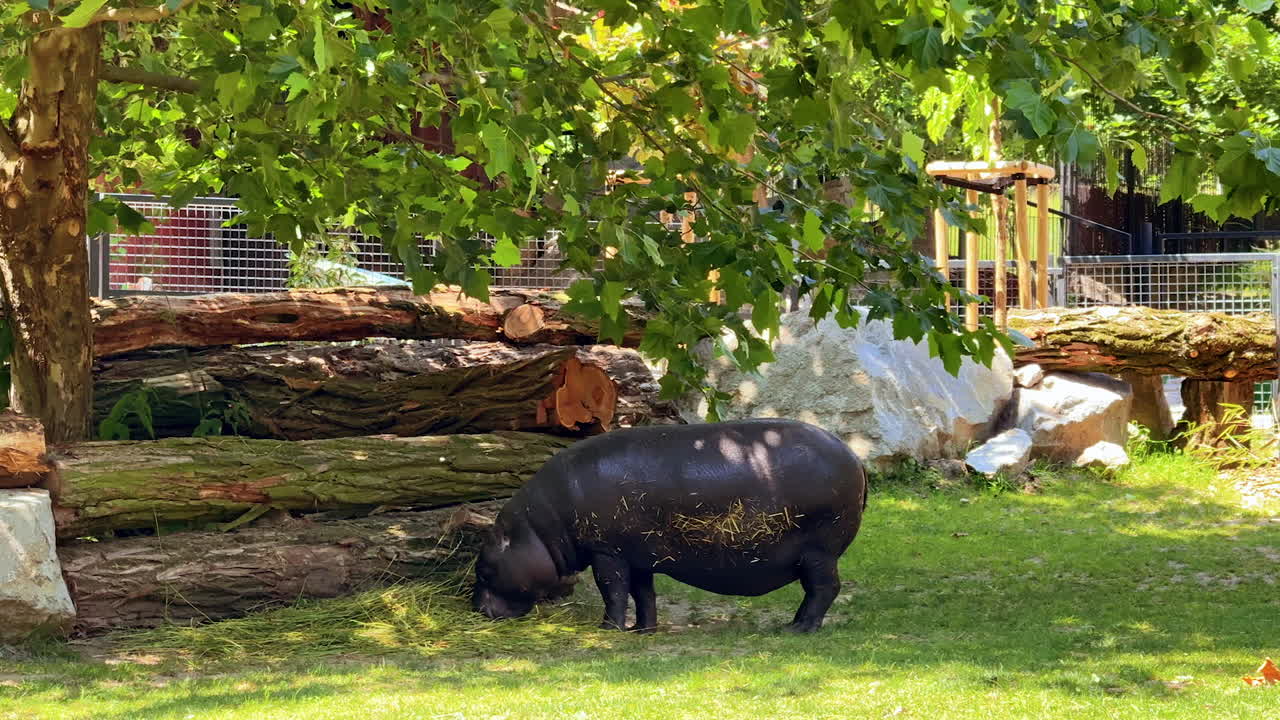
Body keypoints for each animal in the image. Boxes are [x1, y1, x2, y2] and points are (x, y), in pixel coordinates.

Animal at [471, 418, 868, 633]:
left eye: (484, 569)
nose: (476, 609)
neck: (538, 530)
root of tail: (853, 455)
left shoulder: (607, 552)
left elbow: (613, 590)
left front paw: (608, 629)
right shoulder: (637, 556)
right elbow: (643, 594)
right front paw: (642, 630)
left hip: (819, 551)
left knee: (824, 589)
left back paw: (799, 629)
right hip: (815, 554)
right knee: (816, 592)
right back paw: (792, 624)